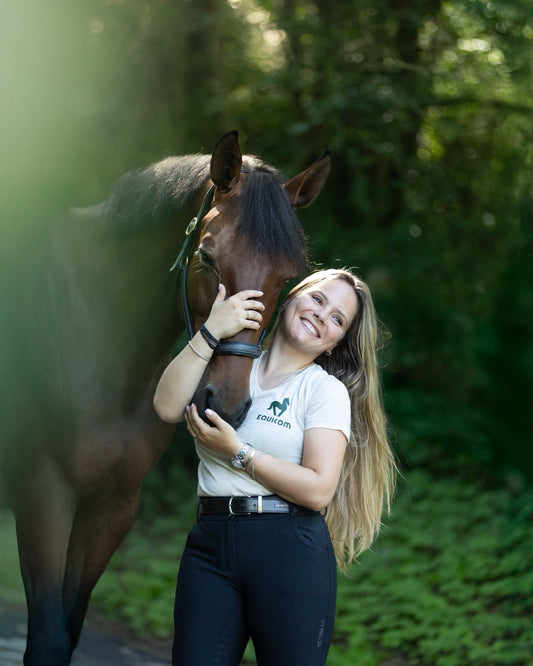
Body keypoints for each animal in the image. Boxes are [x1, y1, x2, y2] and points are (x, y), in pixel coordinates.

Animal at [0, 130, 331, 665]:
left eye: (287, 276)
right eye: (207, 258)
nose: (228, 404)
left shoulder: (112, 509)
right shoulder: (43, 496)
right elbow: (48, 642)